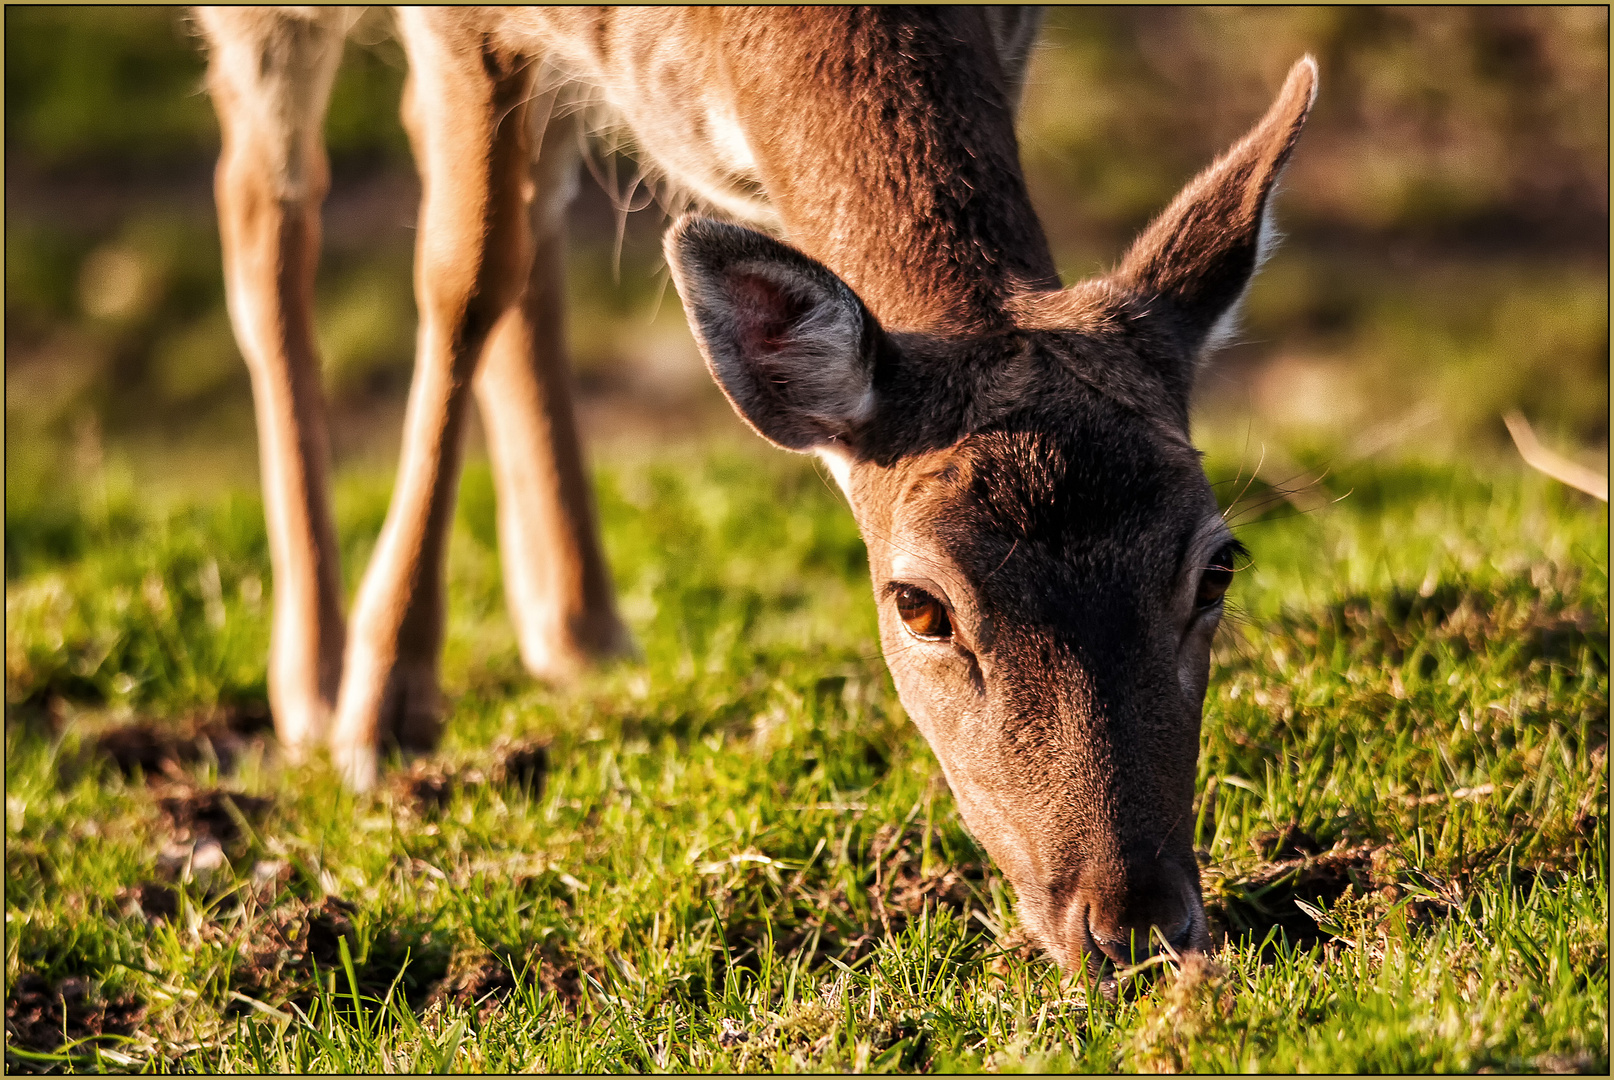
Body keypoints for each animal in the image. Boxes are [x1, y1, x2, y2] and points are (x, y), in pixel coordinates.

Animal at [195, 6, 1317, 968]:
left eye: (1218, 568)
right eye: (918, 605)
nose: (1138, 929)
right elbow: (460, 276)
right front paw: (383, 710)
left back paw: (579, 626)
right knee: (264, 203)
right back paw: (316, 677)